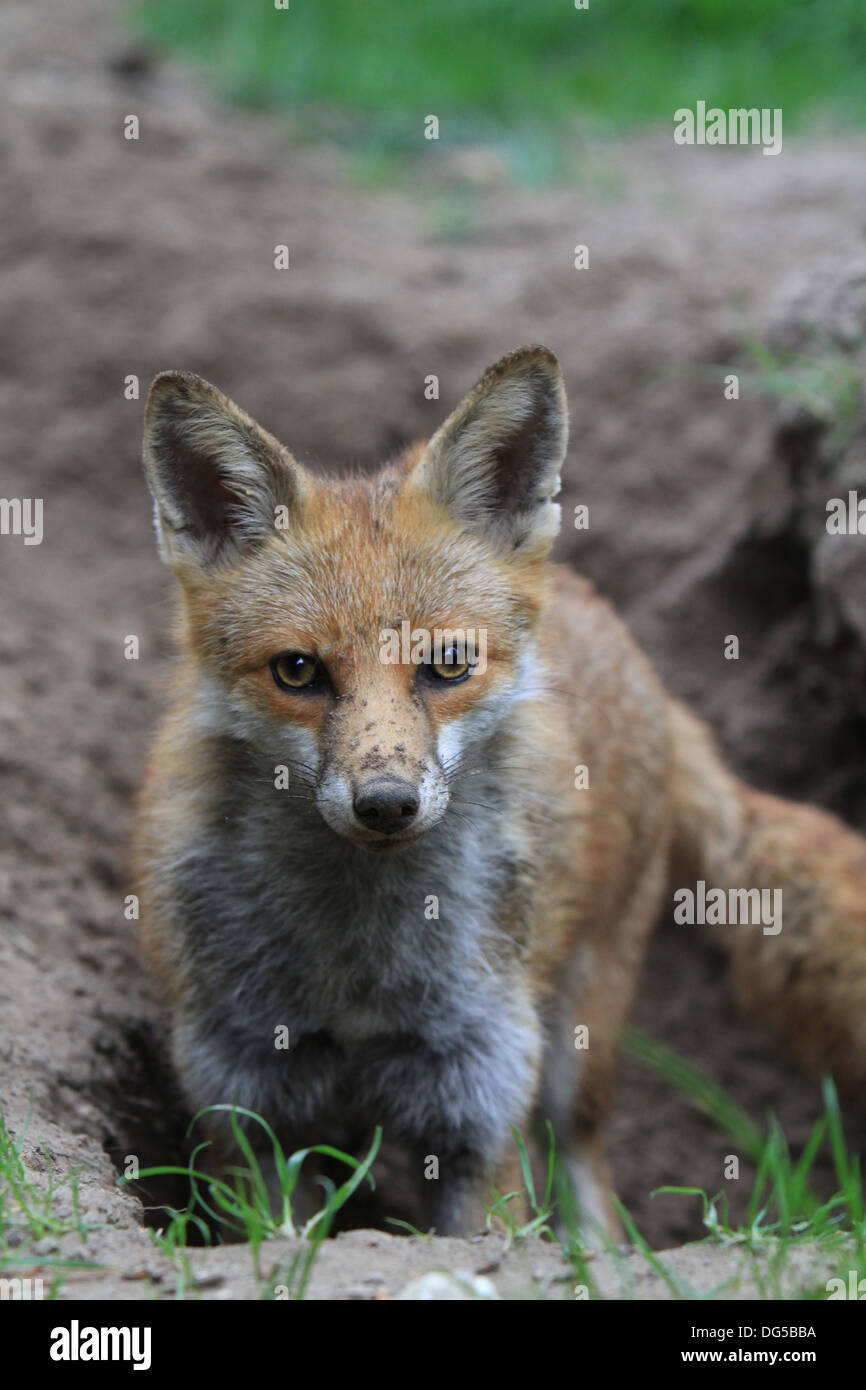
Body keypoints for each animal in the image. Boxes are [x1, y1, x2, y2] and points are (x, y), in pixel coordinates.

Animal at [134, 345, 866, 1239]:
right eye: (297, 671)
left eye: (447, 664)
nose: (386, 803)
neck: (359, 970)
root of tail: (611, 622)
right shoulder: (247, 1102)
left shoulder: (478, 1100)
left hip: (576, 1041)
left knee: (587, 1171)